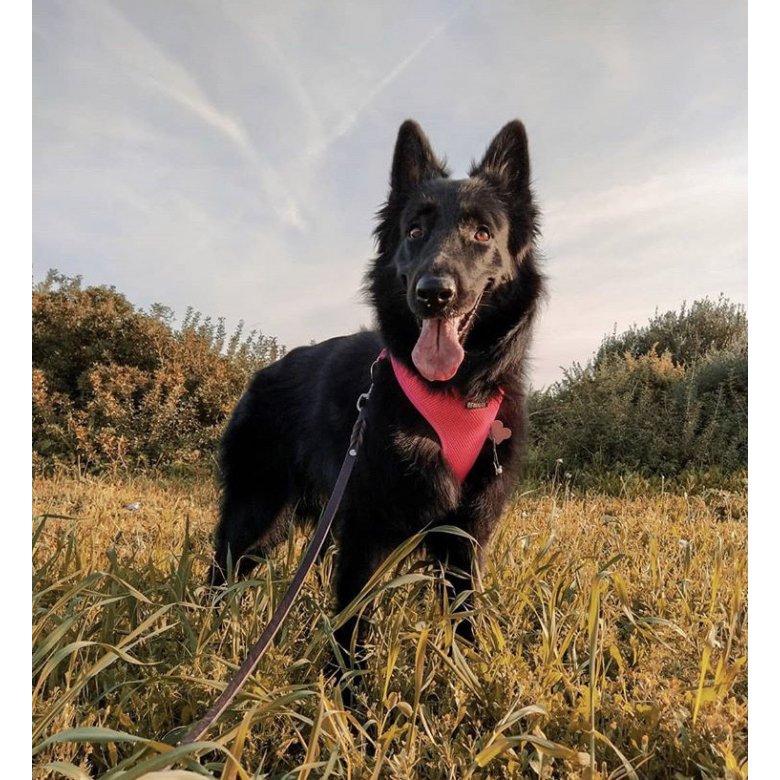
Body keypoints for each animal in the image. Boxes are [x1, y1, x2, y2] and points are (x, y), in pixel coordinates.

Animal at [210, 120, 544, 664]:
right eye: (414, 232)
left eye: (482, 233)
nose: (434, 294)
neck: (451, 393)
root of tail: (262, 374)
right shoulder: (365, 532)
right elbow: (352, 625)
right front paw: (347, 688)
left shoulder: (465, 535)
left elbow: (465, 616)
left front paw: (470, 671)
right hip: (255, 514)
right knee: (221, 570)